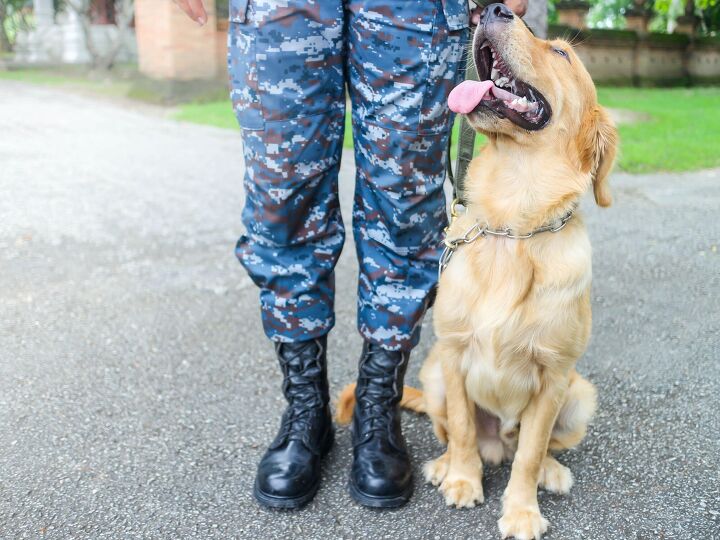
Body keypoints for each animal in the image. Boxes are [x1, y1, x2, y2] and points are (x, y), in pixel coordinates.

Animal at [334, 4, 616, 540]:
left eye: (562, 53)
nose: (495, 9)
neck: (513, 226)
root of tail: (497, 443)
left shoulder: (554, 376)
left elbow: (530, 452)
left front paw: (522, 510)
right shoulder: (453, 351)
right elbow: (464, 427)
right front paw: (463, 479)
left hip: (580, 394)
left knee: (532, 445)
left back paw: (550, 470)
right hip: (435, 376)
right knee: (453, 430)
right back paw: (448, 463)